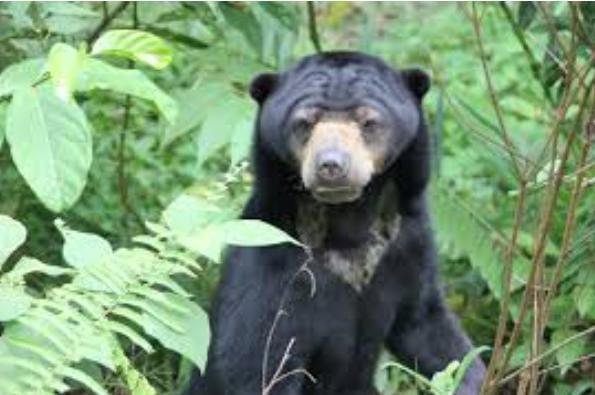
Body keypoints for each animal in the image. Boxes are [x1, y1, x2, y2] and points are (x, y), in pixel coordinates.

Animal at [189, 52, 486, 395]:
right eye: (304, 123)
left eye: (368, 122)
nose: (331, 166)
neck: (347, 218)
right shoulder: (270, 260)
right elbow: (252, 360)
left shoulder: (408, 243)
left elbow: (428, 326)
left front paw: (473, 378)